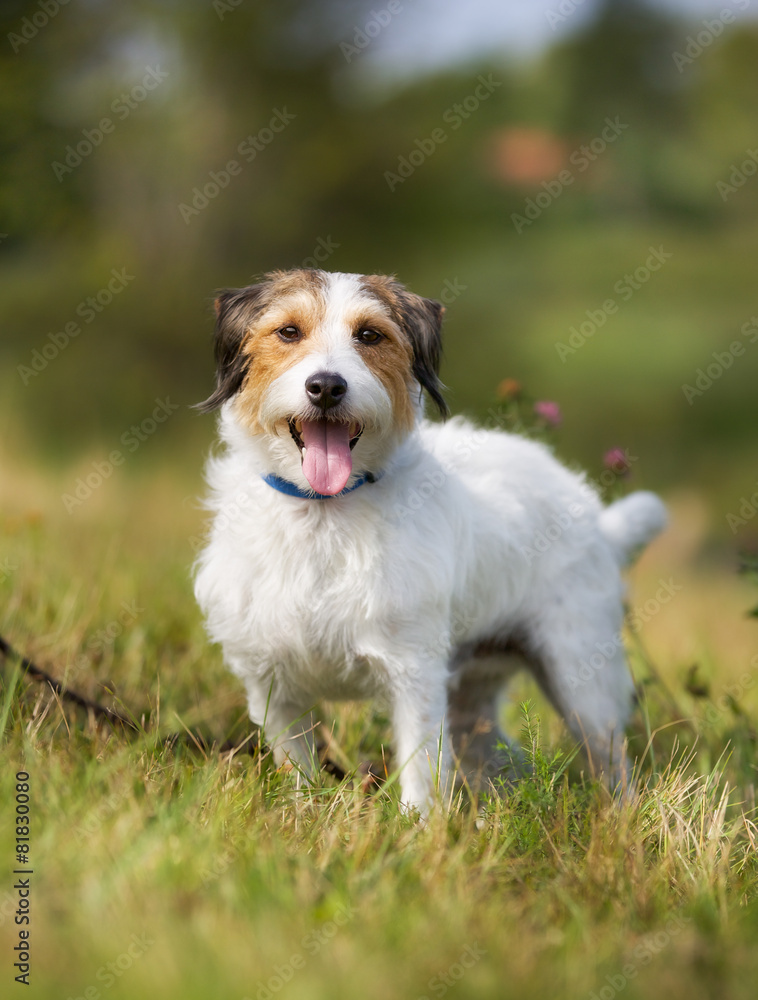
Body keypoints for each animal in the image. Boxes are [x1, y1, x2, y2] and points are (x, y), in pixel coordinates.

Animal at [193, 272, 668, 812]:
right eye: (289, 332)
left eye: (370, 335)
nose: (327, 386)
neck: (323, 513)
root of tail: (600, 521)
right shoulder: (272, 684)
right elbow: (298, 770)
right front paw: (303, 813)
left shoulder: (414, 675)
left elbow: (422, 771)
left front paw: (418, 827)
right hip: (475, 697)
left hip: (581, 681)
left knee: (612, 765)